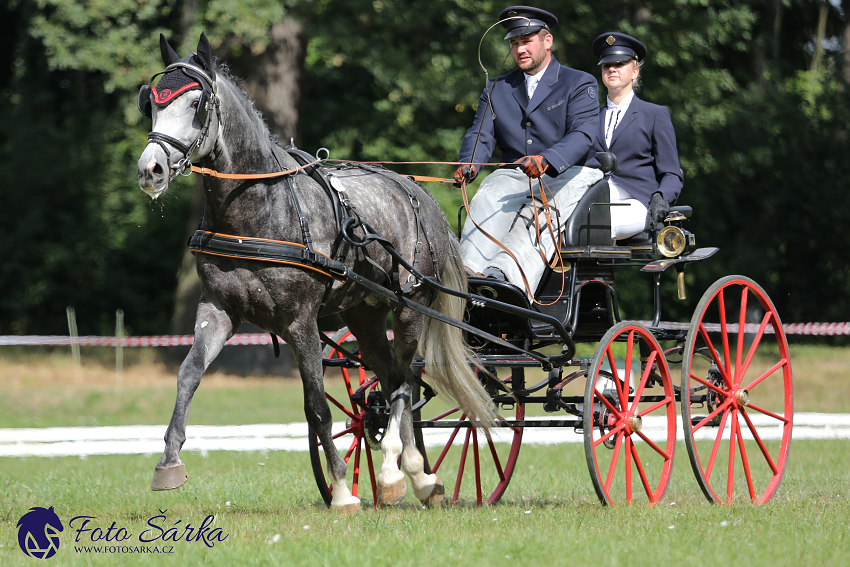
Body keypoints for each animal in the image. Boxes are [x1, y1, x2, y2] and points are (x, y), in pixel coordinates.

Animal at [137, 33, 494, 512]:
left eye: (196, 103)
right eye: (152, 102)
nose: (150, 169)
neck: (257, 212)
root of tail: (416, 191)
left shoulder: (300, 321)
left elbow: (316, 405)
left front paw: (342, 490)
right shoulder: (219, 310)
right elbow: (188, 375)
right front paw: (169, 462)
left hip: (410, 307)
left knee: (405, 382)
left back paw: (397, 470)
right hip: (363, 313)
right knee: (391, 377)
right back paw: (416, 476)